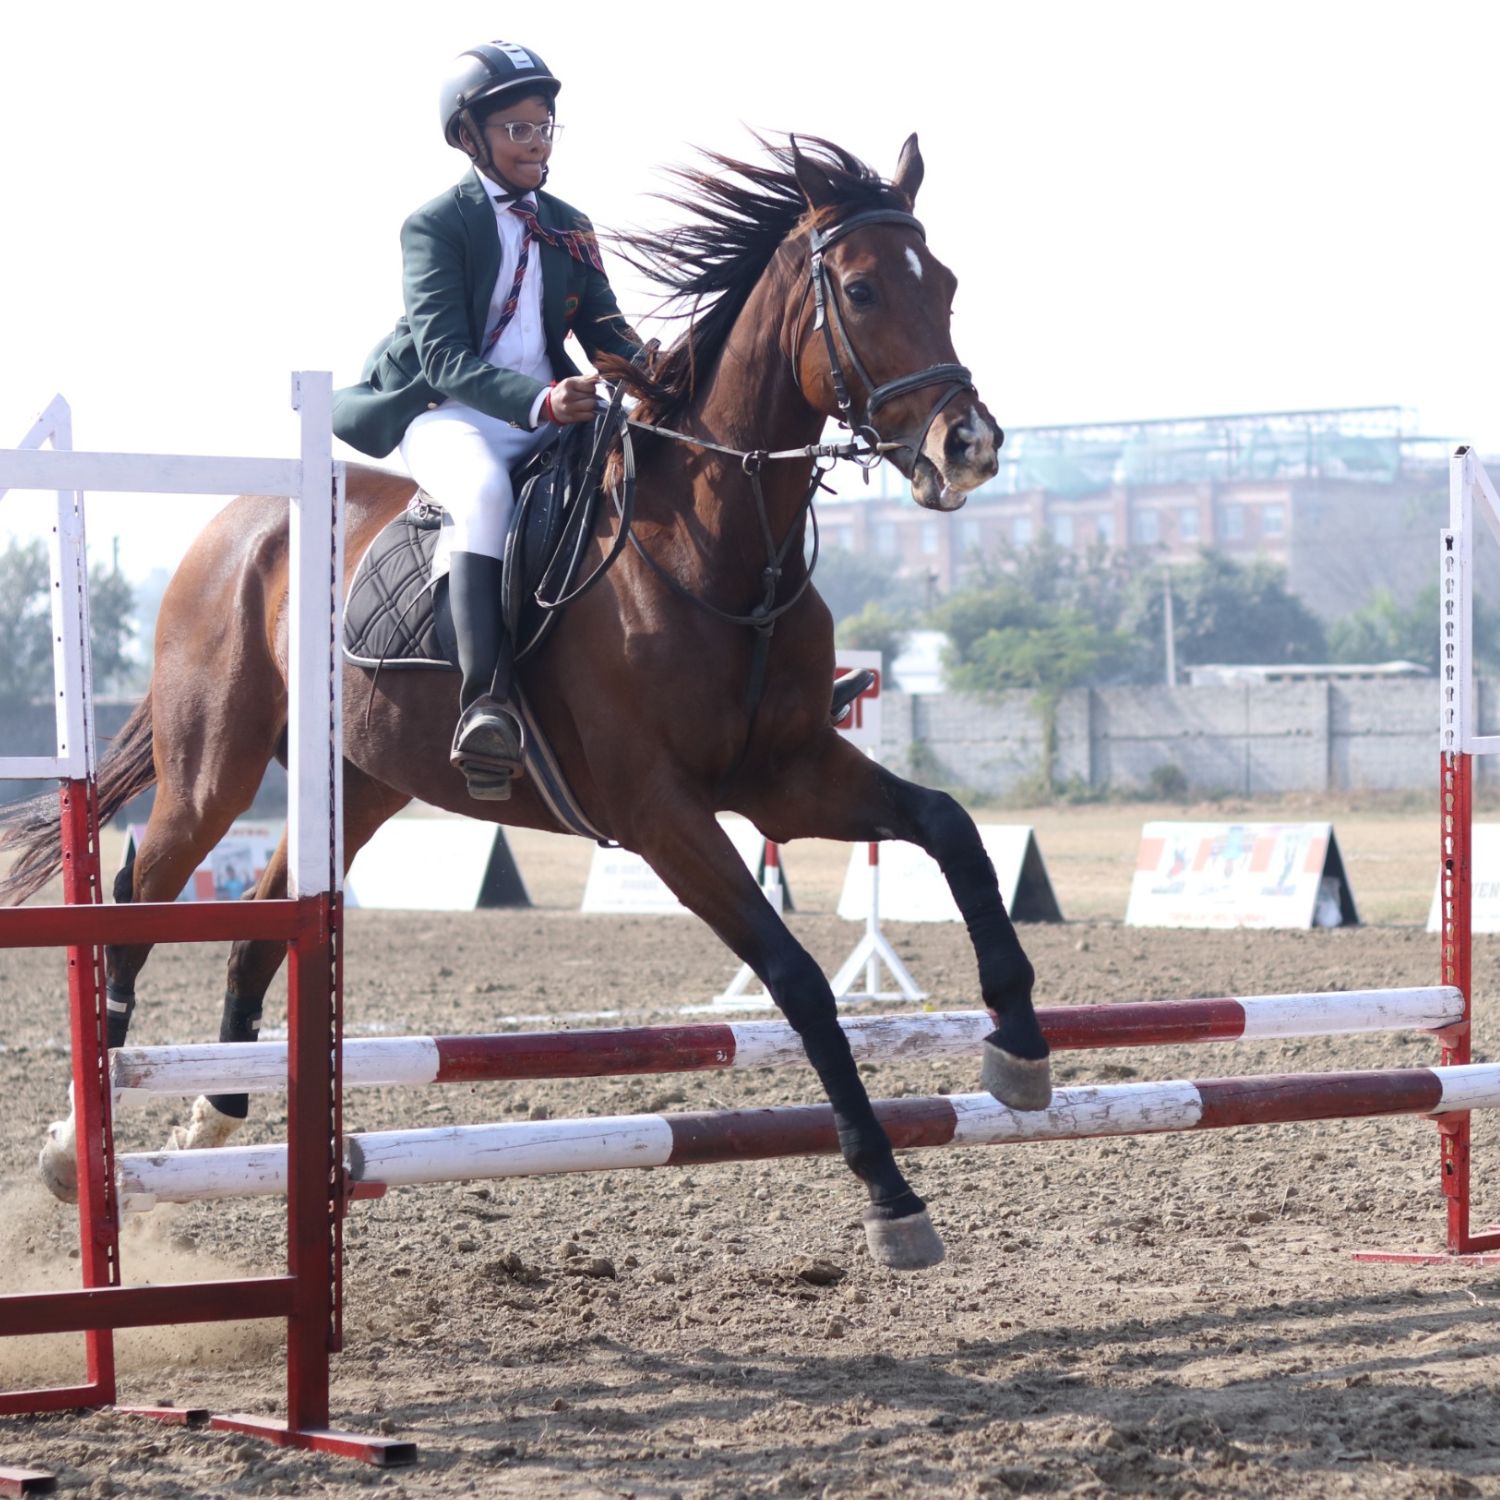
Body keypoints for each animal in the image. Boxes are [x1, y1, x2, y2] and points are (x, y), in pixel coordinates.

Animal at [2, 134, 1049, 1271]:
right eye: (860, 290)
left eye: (945, 285)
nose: (969, 446)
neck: (718, 548)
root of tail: (236, 524)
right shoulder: (661, 813)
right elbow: (798, 975)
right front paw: (891, 1192)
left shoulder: (787, 777)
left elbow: (952, 829)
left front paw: (1021, 1046)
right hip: (215, 773)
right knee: (139, 893)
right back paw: (77, 1142)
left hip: (359, 784)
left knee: (255, 930)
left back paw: (215, 1116)